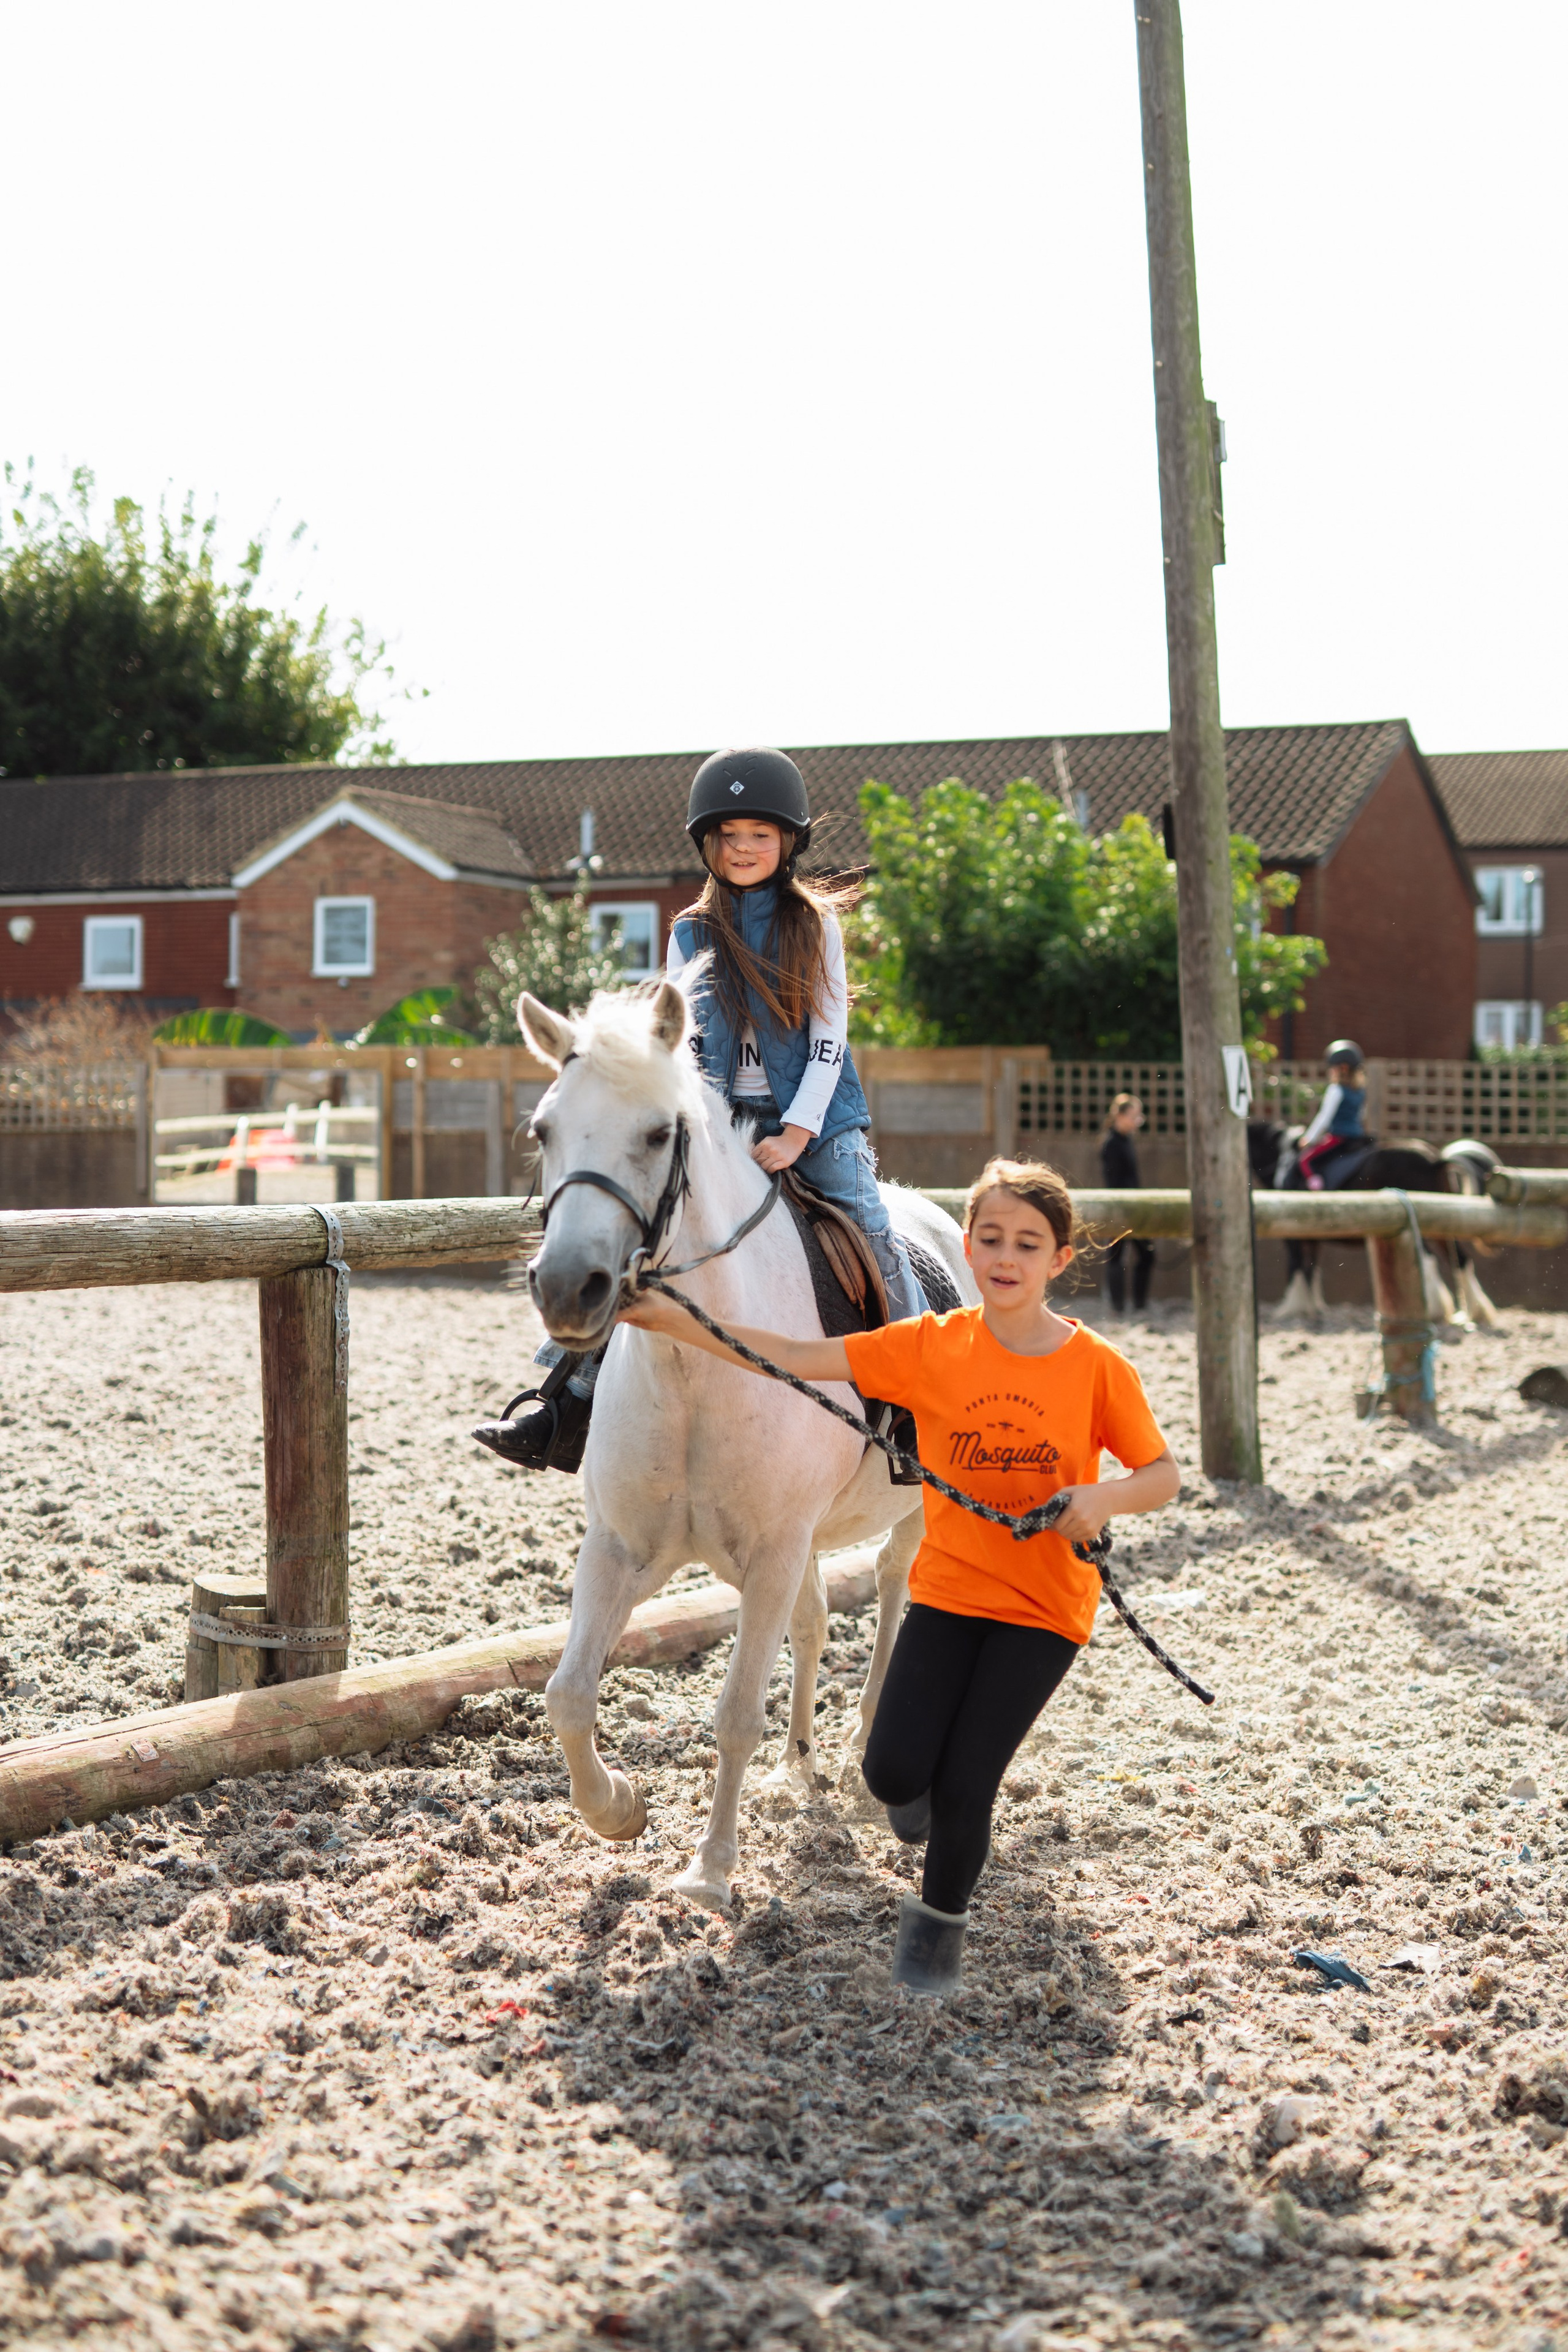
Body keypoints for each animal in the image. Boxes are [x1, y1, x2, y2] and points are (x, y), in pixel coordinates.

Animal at [515, 976, 977, 1911]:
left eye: (658, 1133)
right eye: (545, 1129)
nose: (568, 1289)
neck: (697, 1372)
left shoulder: (769, 1554)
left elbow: (733, 1714)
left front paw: (710, 1871)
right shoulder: (623, 1548)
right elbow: (569, 1693)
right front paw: (619, 1809)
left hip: (913, 1511)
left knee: (892, 1588)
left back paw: (864, 1763)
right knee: (814, 1623)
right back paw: (798, 1771)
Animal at [1246, 1122, 1500, 1328]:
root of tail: (1435, 1160)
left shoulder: (1293, 1236)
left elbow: (1296, 1268)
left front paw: (1292, 1309)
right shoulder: (1311, 1237)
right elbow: (1311, 1269)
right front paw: (1314, 1308)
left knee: (1430, 1260)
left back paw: (1437, 1310)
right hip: (1443, 1224)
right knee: (1460, 1260)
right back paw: (1474, 1313)